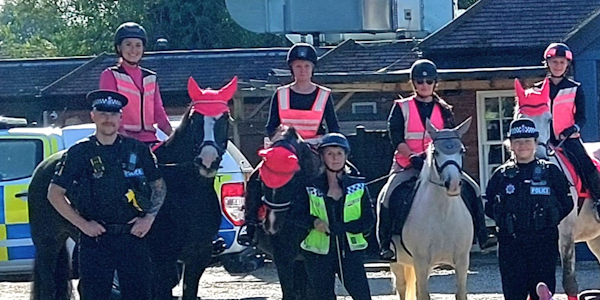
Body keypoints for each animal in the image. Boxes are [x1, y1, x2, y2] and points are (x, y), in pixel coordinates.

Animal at [244, 126, 322, 300]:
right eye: (262, 181)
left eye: (291, 182)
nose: (272, 225)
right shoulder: (282, 255)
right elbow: (289, 291)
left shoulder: (311, 255)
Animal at [392, 118, 476, 300]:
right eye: (436, 152)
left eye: (462, 151)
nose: (453, 184)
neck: (443, 214)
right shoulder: (421, 261)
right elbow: (423, 294)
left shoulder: (462, 260)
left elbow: (460, 293)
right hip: (398, 263)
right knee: (402, 287)